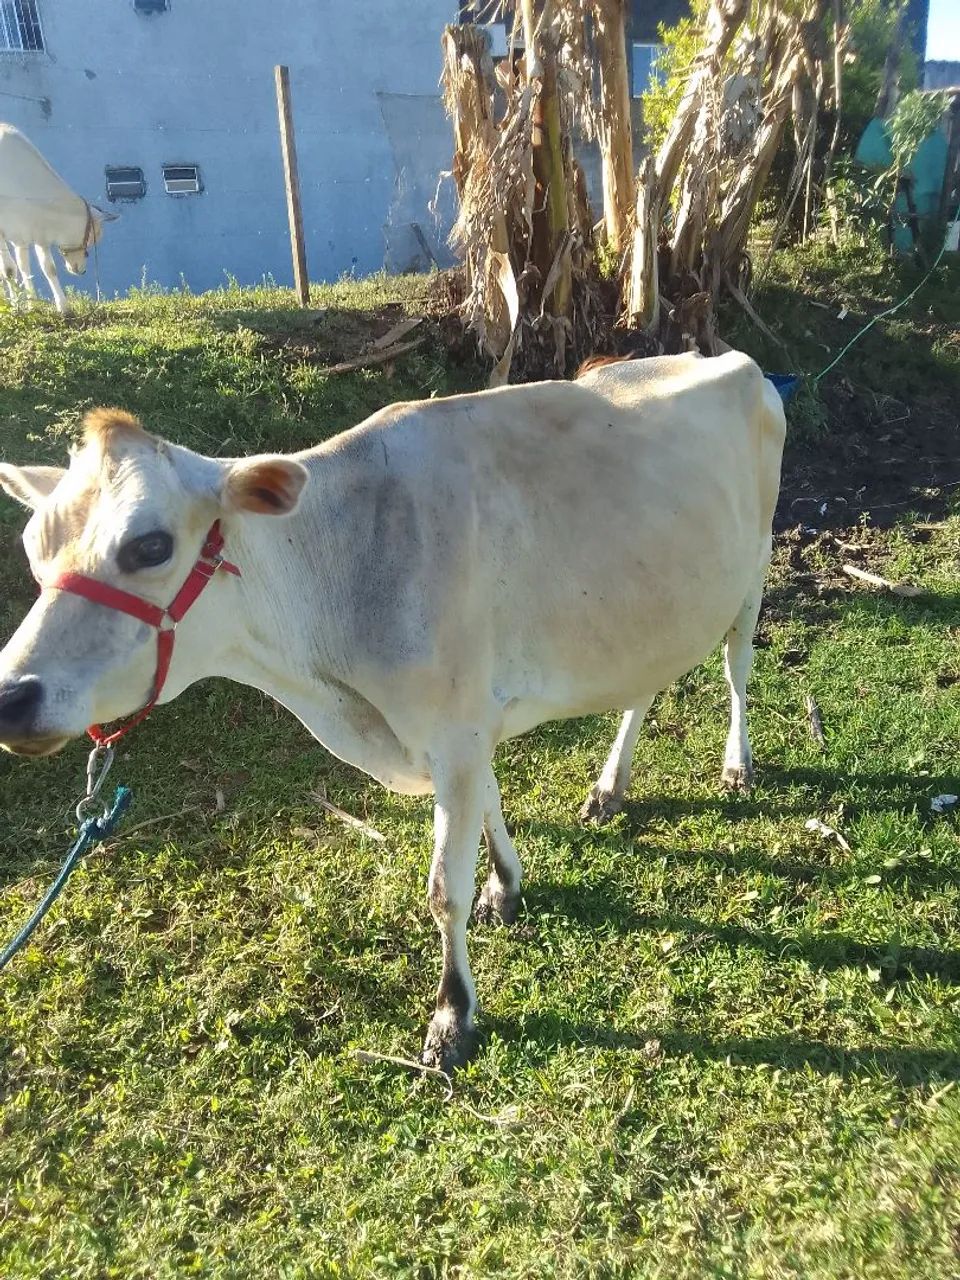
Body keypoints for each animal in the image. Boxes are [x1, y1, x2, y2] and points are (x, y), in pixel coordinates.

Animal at [0, 123, 116, 314]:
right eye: (93, 237)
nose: (82, 271)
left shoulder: (28, 234)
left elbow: (40, 268)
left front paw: (55, 307)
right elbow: (9, 269)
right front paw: (15, 308)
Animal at [0, 351, 785, 1070]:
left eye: (151, 544)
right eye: (33, 546)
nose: (10, 697)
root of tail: (731, 357)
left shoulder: (456, 727)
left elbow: (443, 889)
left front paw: (452, 1016)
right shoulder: (465, 725)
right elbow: (490, 812)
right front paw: (506, 886)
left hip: (754, 569)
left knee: (737, 664)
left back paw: (736, 765)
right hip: (651, 610)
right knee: (644, 684)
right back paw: (609, 786)